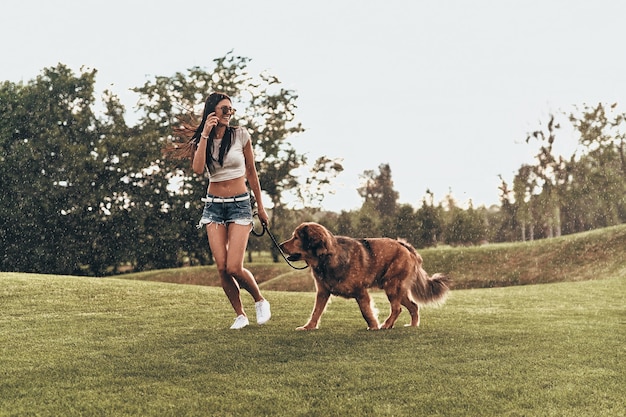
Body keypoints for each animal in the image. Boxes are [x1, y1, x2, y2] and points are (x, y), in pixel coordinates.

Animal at [280, 223, 448, 330]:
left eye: (296, 238)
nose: (280, 245)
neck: (327, 257)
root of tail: (405, 246)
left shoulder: (361, 292)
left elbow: (366, 312)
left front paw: (373, 326)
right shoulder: (322, 292)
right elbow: (316, 312)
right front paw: (309, 327)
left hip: (391, 286)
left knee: (397, 308)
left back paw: (387, 325)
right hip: (398, 290)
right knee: (413, 306)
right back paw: (412, 325)